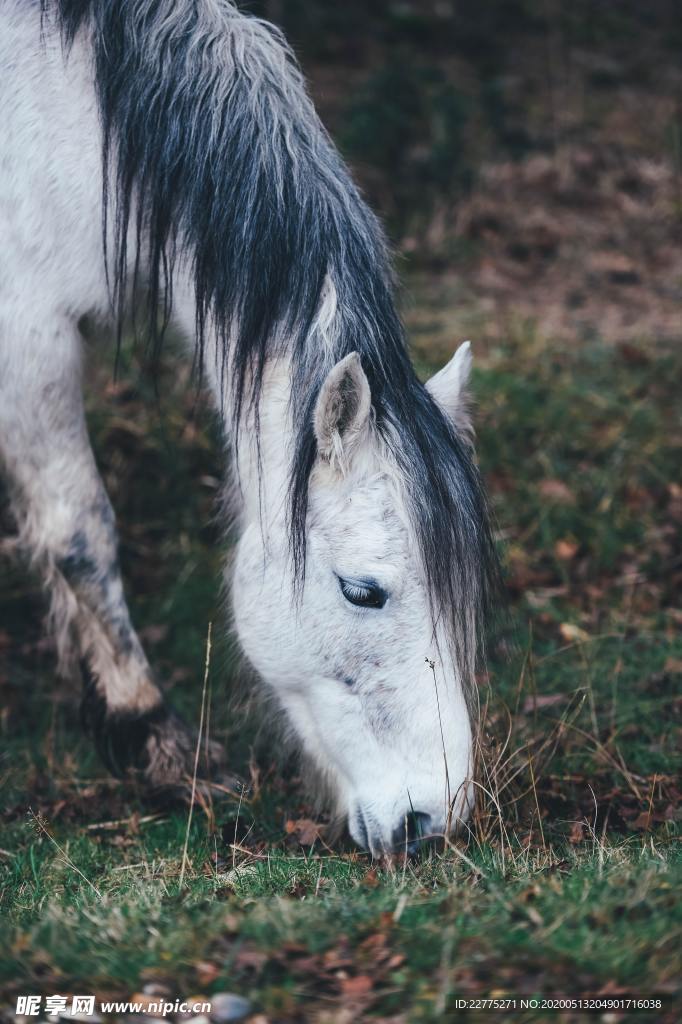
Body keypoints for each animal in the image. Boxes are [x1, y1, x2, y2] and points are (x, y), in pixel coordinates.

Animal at [1, 0, 499, 856]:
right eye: (363, 591)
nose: (432, 820)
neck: (69, 110)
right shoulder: (27, 331)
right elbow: (80, 534)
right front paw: (153, 737)